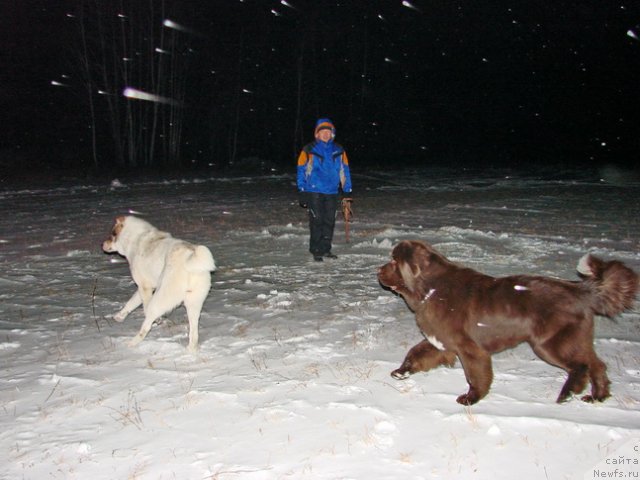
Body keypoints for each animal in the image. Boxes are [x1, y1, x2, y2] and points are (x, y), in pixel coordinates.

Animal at [102, 216, 216, 350]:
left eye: (112, 234)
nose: (102, 244)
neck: (136, 238)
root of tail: (190, 258)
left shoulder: (144, 287)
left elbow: (142, 306)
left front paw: (157, 321)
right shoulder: (145, 287)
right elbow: (131, 303)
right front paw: (119, 316)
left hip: (161, 298)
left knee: (146, 325)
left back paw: (132, 343)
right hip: (193, 303)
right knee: (194, 333)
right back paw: (191, 350)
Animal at [378, 240, 636, 404]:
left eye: (393, 261)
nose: (377, 271)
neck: (430, 288)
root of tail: (580, 289)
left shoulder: (470, 348)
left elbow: (476, 375)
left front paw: (471, 399)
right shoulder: (441, 342)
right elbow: (416, 353)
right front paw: (401, 371)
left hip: (550, 344)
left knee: (581, 366)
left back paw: (568, 393)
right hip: (576, 341)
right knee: (597, 365)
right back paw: (597, 397)